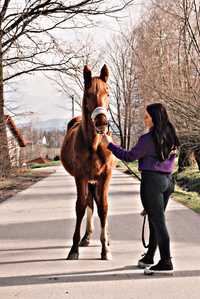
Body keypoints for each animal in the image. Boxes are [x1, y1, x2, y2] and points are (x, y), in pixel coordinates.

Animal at [60, 65, 114, 260]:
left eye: (108, 92)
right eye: (88, 93)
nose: (102, 123)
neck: (94, 144)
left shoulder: (105, 176)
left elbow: (104, 207)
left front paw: (105, 249)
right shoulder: (81, 177)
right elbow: (81, 207)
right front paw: (74, 249)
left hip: (95, 180)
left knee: (97, 203)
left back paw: (105, 239)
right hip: (89, 180)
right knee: (90, 202)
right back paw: (87, 237)